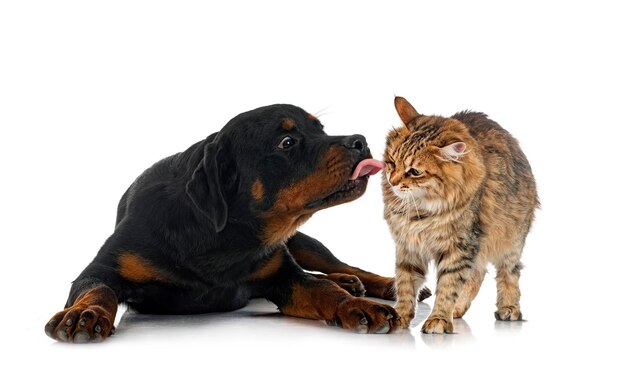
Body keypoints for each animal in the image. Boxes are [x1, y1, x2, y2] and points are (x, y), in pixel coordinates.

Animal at [46, 103, 402, 342]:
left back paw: (375, 283)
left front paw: (358, 305)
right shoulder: (103, 268)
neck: (225, 238)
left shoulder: (283, 275)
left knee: (340, 265)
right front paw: (85, 314)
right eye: (287, 142)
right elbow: (98, 289)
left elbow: (323, 289)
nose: (360, 141)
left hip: (303, 243)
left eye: (321, 129)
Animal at [380, 96, 536, 334]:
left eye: (414, 172)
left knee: (508, 273)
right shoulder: (408, 245)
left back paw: (508, 308)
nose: (393, 181)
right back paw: (458, 309)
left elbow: (448, 285)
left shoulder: (459, 246)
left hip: (510, 240)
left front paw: (438, 319)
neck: (420, 209)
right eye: (391, 161)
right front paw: (400, 316)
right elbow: (405, 284)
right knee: (478, 274)